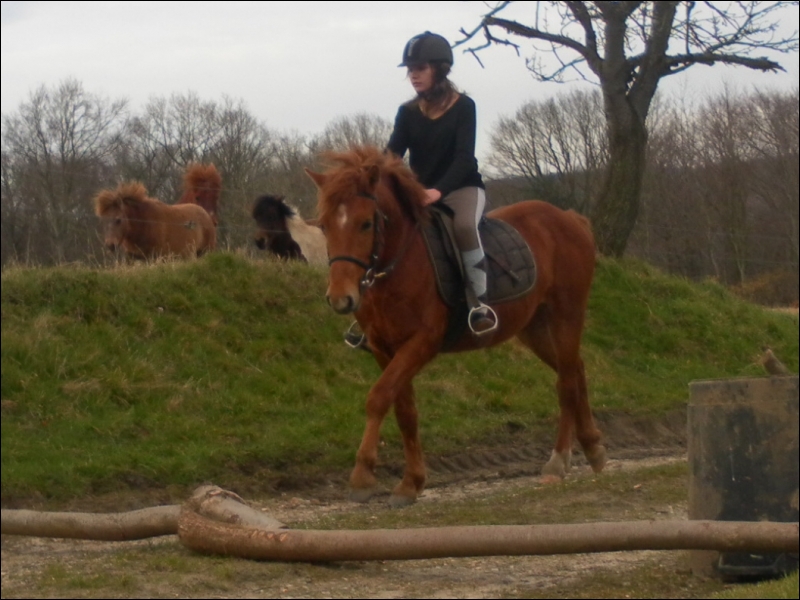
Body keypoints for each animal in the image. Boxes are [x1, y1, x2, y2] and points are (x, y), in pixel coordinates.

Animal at [306, 146, 605, 507]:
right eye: (324, 226)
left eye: (366, 224)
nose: (341, 299)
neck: (399, 264)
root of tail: (569, 218)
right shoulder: (383, 347)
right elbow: (405, 410)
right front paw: (411, 483)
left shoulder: (422, 342)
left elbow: (378, 397)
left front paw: (363, 475)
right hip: (534, 328)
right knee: (575, 369)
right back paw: (593, 448)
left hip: (566, 315)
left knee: (567, 384)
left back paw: (558, 461)